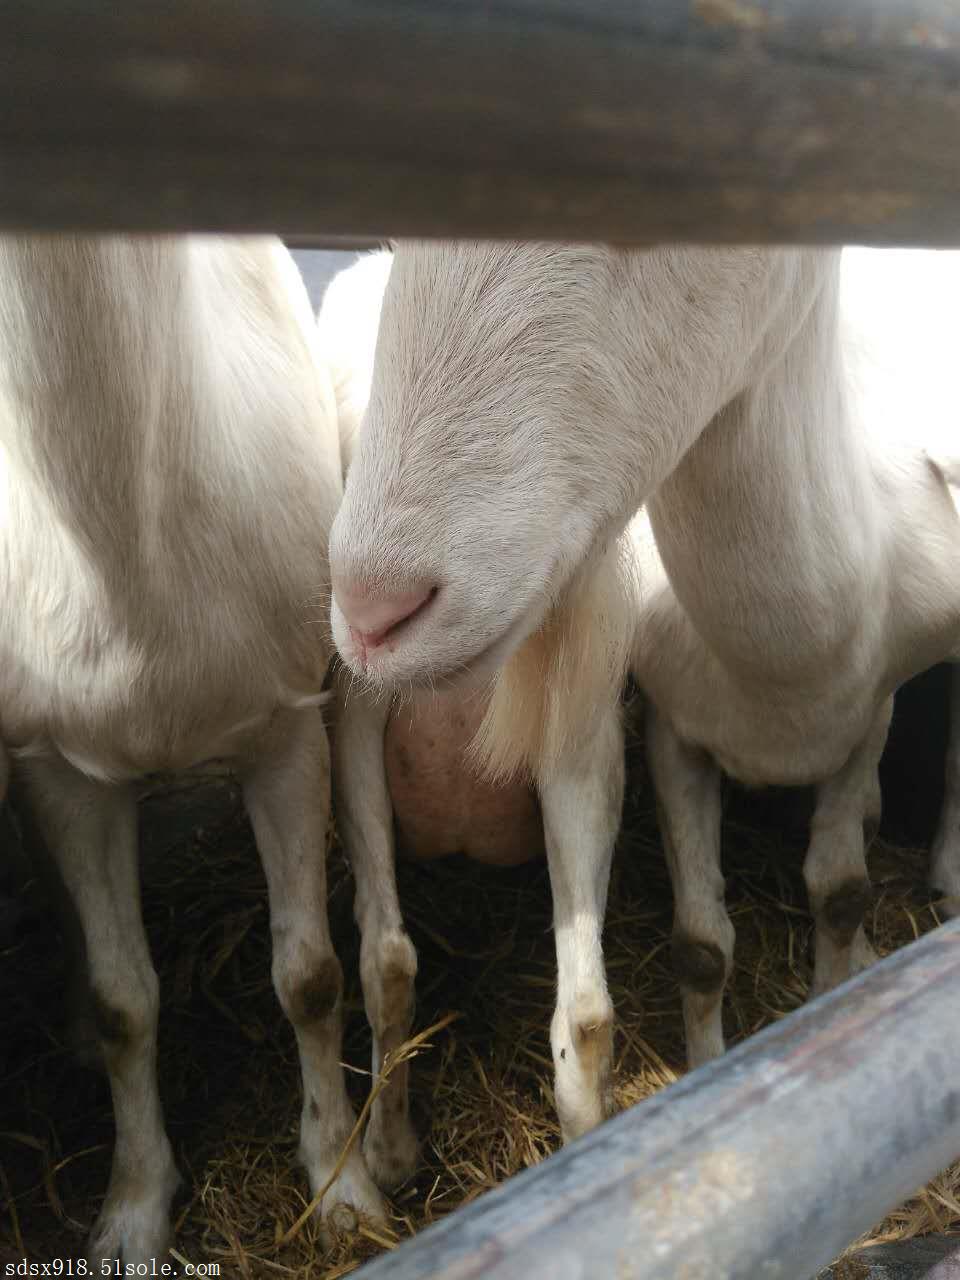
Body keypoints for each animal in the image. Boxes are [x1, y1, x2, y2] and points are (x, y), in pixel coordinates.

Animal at [0, 235, 384, 1264]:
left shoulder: (288, 731)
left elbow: (310, 977)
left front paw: (342, 1187)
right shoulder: (62, 770)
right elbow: (122, 1000)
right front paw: (130, 1216)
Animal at [330, 244, 960, 1075]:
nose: (373, 609)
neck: (790, 674)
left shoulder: (871, 717)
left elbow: (841, 893)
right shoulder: (674, 727)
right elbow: (702, 947)